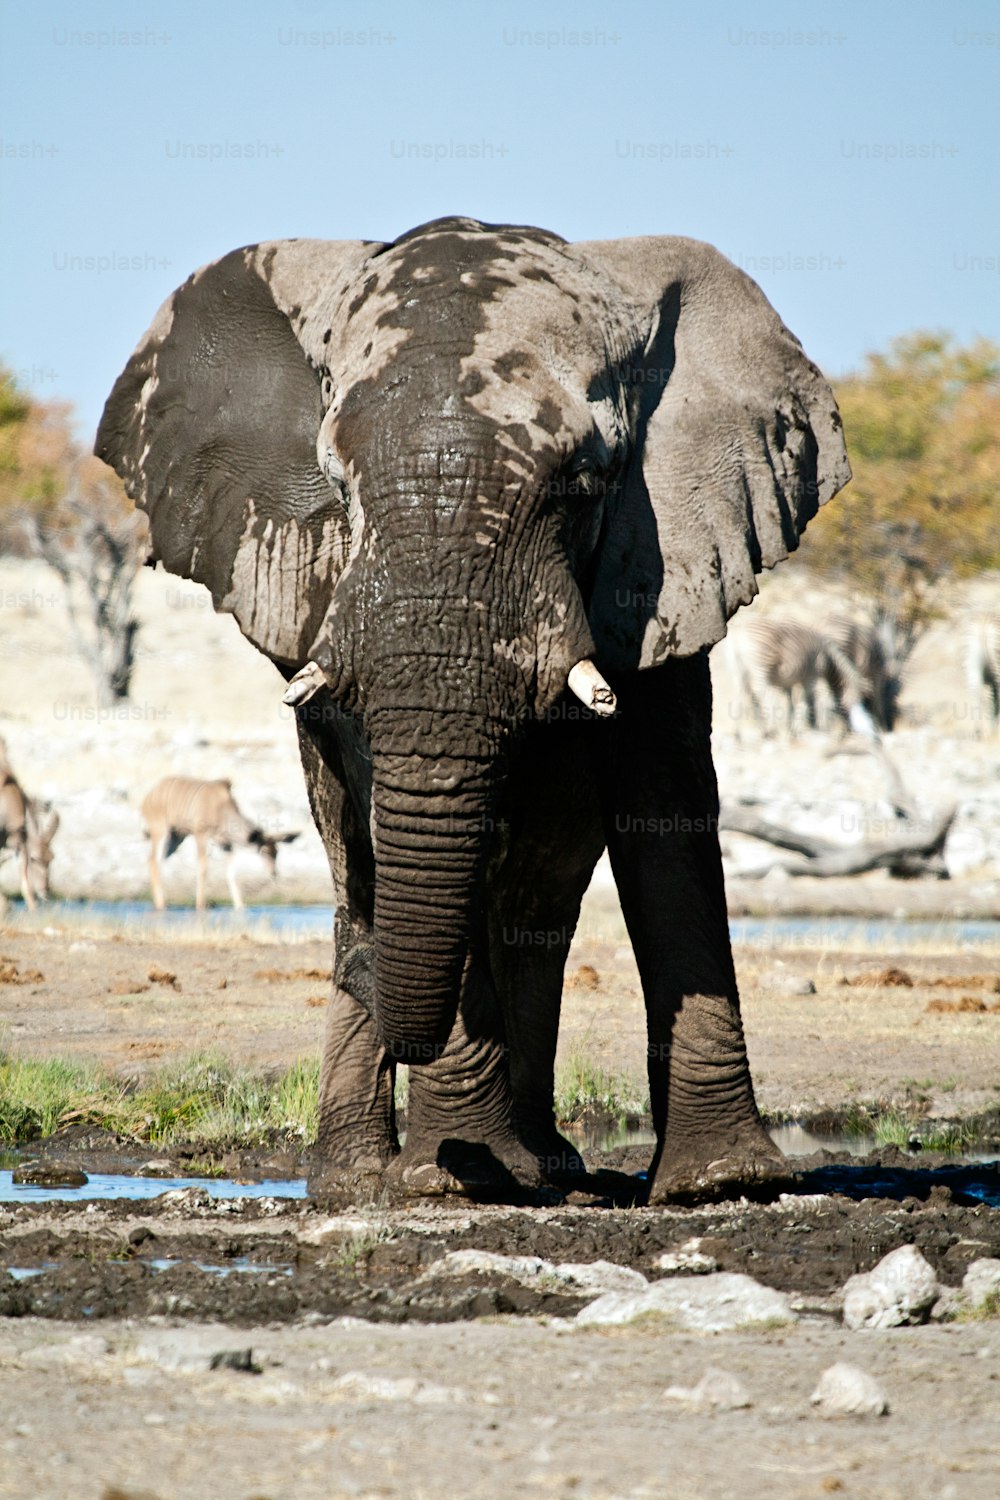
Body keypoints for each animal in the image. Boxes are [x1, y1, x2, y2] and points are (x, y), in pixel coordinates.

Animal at [140, 780, 299, 906]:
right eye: (263, 851)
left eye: (277, 852)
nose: (273, 873)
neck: (222, 809)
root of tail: (146, 800)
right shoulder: (200, 833)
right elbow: (203, 868)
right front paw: (201, 905)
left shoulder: (225, 843)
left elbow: (231, 873)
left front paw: (240, 906)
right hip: (161, 830)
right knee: (153, 859)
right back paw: (161, 904)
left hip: (177, 836)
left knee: (158, 861)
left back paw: (162, 900)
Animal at [722, 615, 881, 738]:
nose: (874, 735)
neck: (827, 654)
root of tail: (738, 634)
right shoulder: (811, 676)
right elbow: (807, 701)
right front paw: (804, 728)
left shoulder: (788, 682)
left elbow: (791, 703)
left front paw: (791, 728)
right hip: (759, 667)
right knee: (765, 697)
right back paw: (771, 730)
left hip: (737, 670)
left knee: (741, 696)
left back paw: (739, 734)